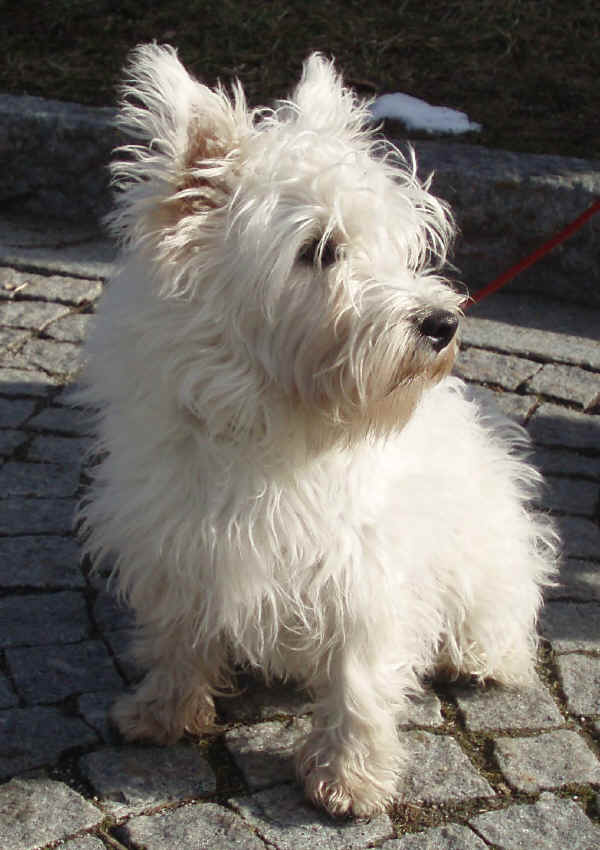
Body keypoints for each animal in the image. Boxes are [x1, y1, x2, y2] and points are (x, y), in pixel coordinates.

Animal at [79, 46, 556, 816]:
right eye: (319, 248)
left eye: (396, 246)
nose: (442, 323)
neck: (276, 421)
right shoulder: (177, 539)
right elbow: (178, 633)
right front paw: (161, 710)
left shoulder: (365, 566)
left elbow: (359, 676)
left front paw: (349, 776)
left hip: (493, 557)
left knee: (502, 610)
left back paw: (483, 657)